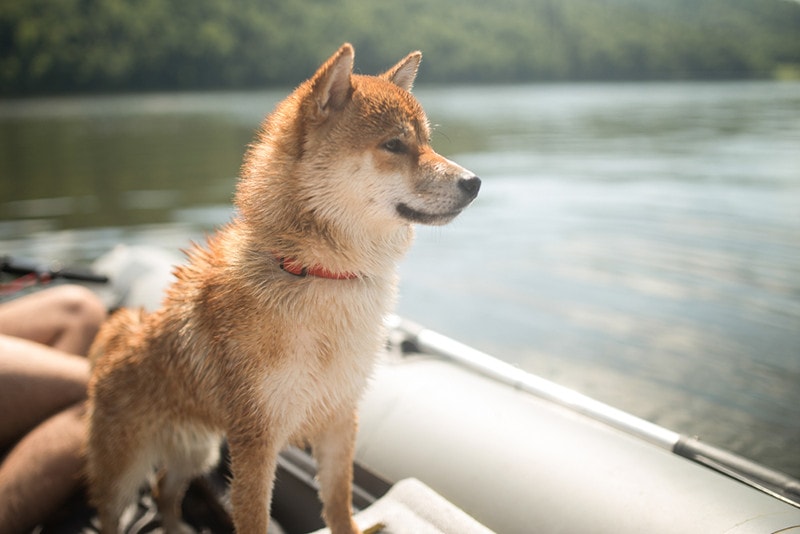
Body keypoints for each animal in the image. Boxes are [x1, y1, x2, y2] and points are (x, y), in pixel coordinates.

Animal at [86, 43, 482, 534]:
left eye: (427, 142)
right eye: (394, 145)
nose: (474, 182)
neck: (319, 273)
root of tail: (121, 332)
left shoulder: (340, 417)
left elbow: (339, 504)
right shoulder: (257, 439)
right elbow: (255, 516)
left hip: (198, 449)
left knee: (166, 490)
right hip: (125, 471)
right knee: (116, 508)